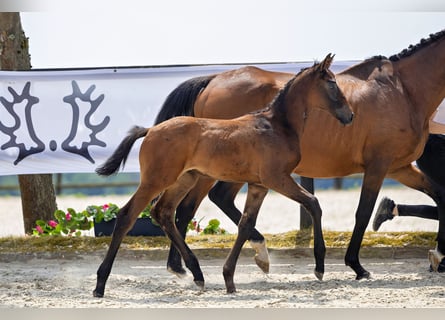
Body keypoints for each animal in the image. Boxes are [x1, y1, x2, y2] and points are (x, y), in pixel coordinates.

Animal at [93, 53, 354, 296]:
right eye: (332, 83)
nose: (350, 115)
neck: (276, 125)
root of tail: (151, 130)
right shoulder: (277, 178)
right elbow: (313, 203)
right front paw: (319, 266)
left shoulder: (259, 185)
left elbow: (246, 224)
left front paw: (231, 277)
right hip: (157, 180)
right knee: (127, 215)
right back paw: (100, 283)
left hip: (184, 179)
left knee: (164, 212)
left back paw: (196, 273)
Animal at [154, 30, 444, 280]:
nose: (349, 116)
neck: (402, 91)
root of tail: (211, 80)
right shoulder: (378, 165)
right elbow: (362, 212)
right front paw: (356, 266)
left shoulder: (399, 167)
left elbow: (439, 197)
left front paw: (439, 256)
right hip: (213, 170)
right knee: (188, 207)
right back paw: (185, 266)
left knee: (212, 201)